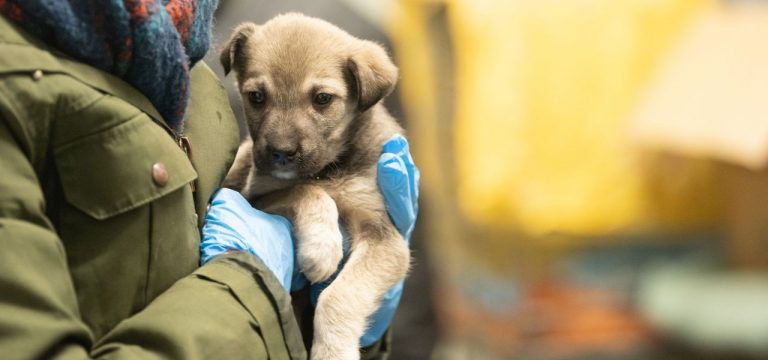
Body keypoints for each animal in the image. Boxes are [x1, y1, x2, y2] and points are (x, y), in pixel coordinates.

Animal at [220, 12, 412, 358]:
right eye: (256, 96)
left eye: (322, 99)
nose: (281, 153)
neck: (327, 171)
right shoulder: (256, 194)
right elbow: (305, 190)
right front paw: (321, 247)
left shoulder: (385, 237)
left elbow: (339, 296)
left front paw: (333, 351)